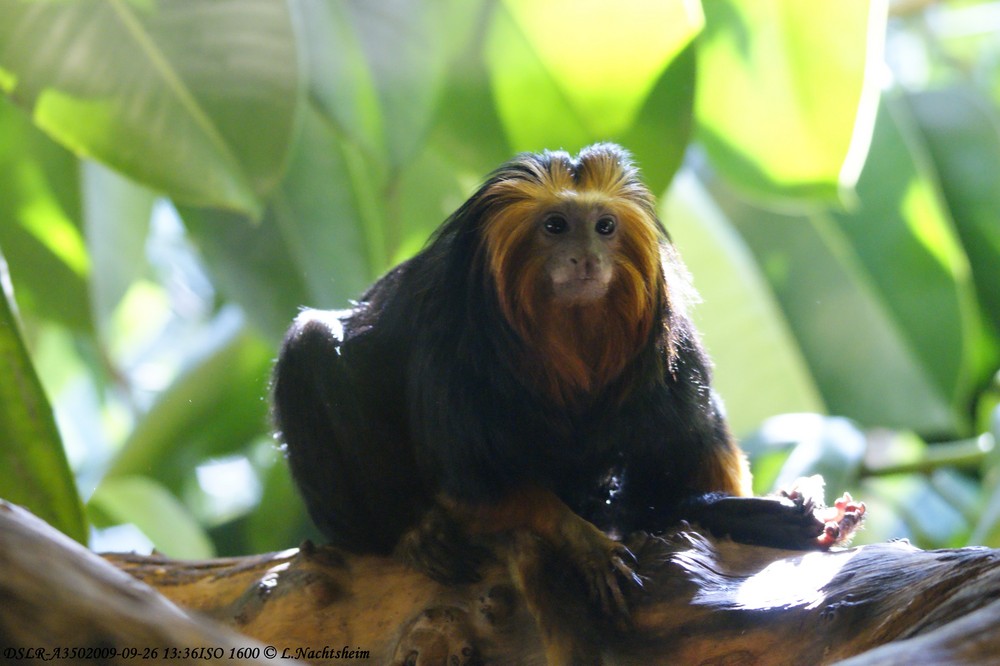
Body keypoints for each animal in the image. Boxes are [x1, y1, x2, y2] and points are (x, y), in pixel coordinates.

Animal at [270, 143, 864, 660]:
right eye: (555, 227)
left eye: (604, 228)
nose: (585, 258)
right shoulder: (453, 353)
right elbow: (477, 488)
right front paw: (584, 541)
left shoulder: (672, 356)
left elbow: (683, 464)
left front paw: (767, 510)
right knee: (312, 344)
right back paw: (414, 534)